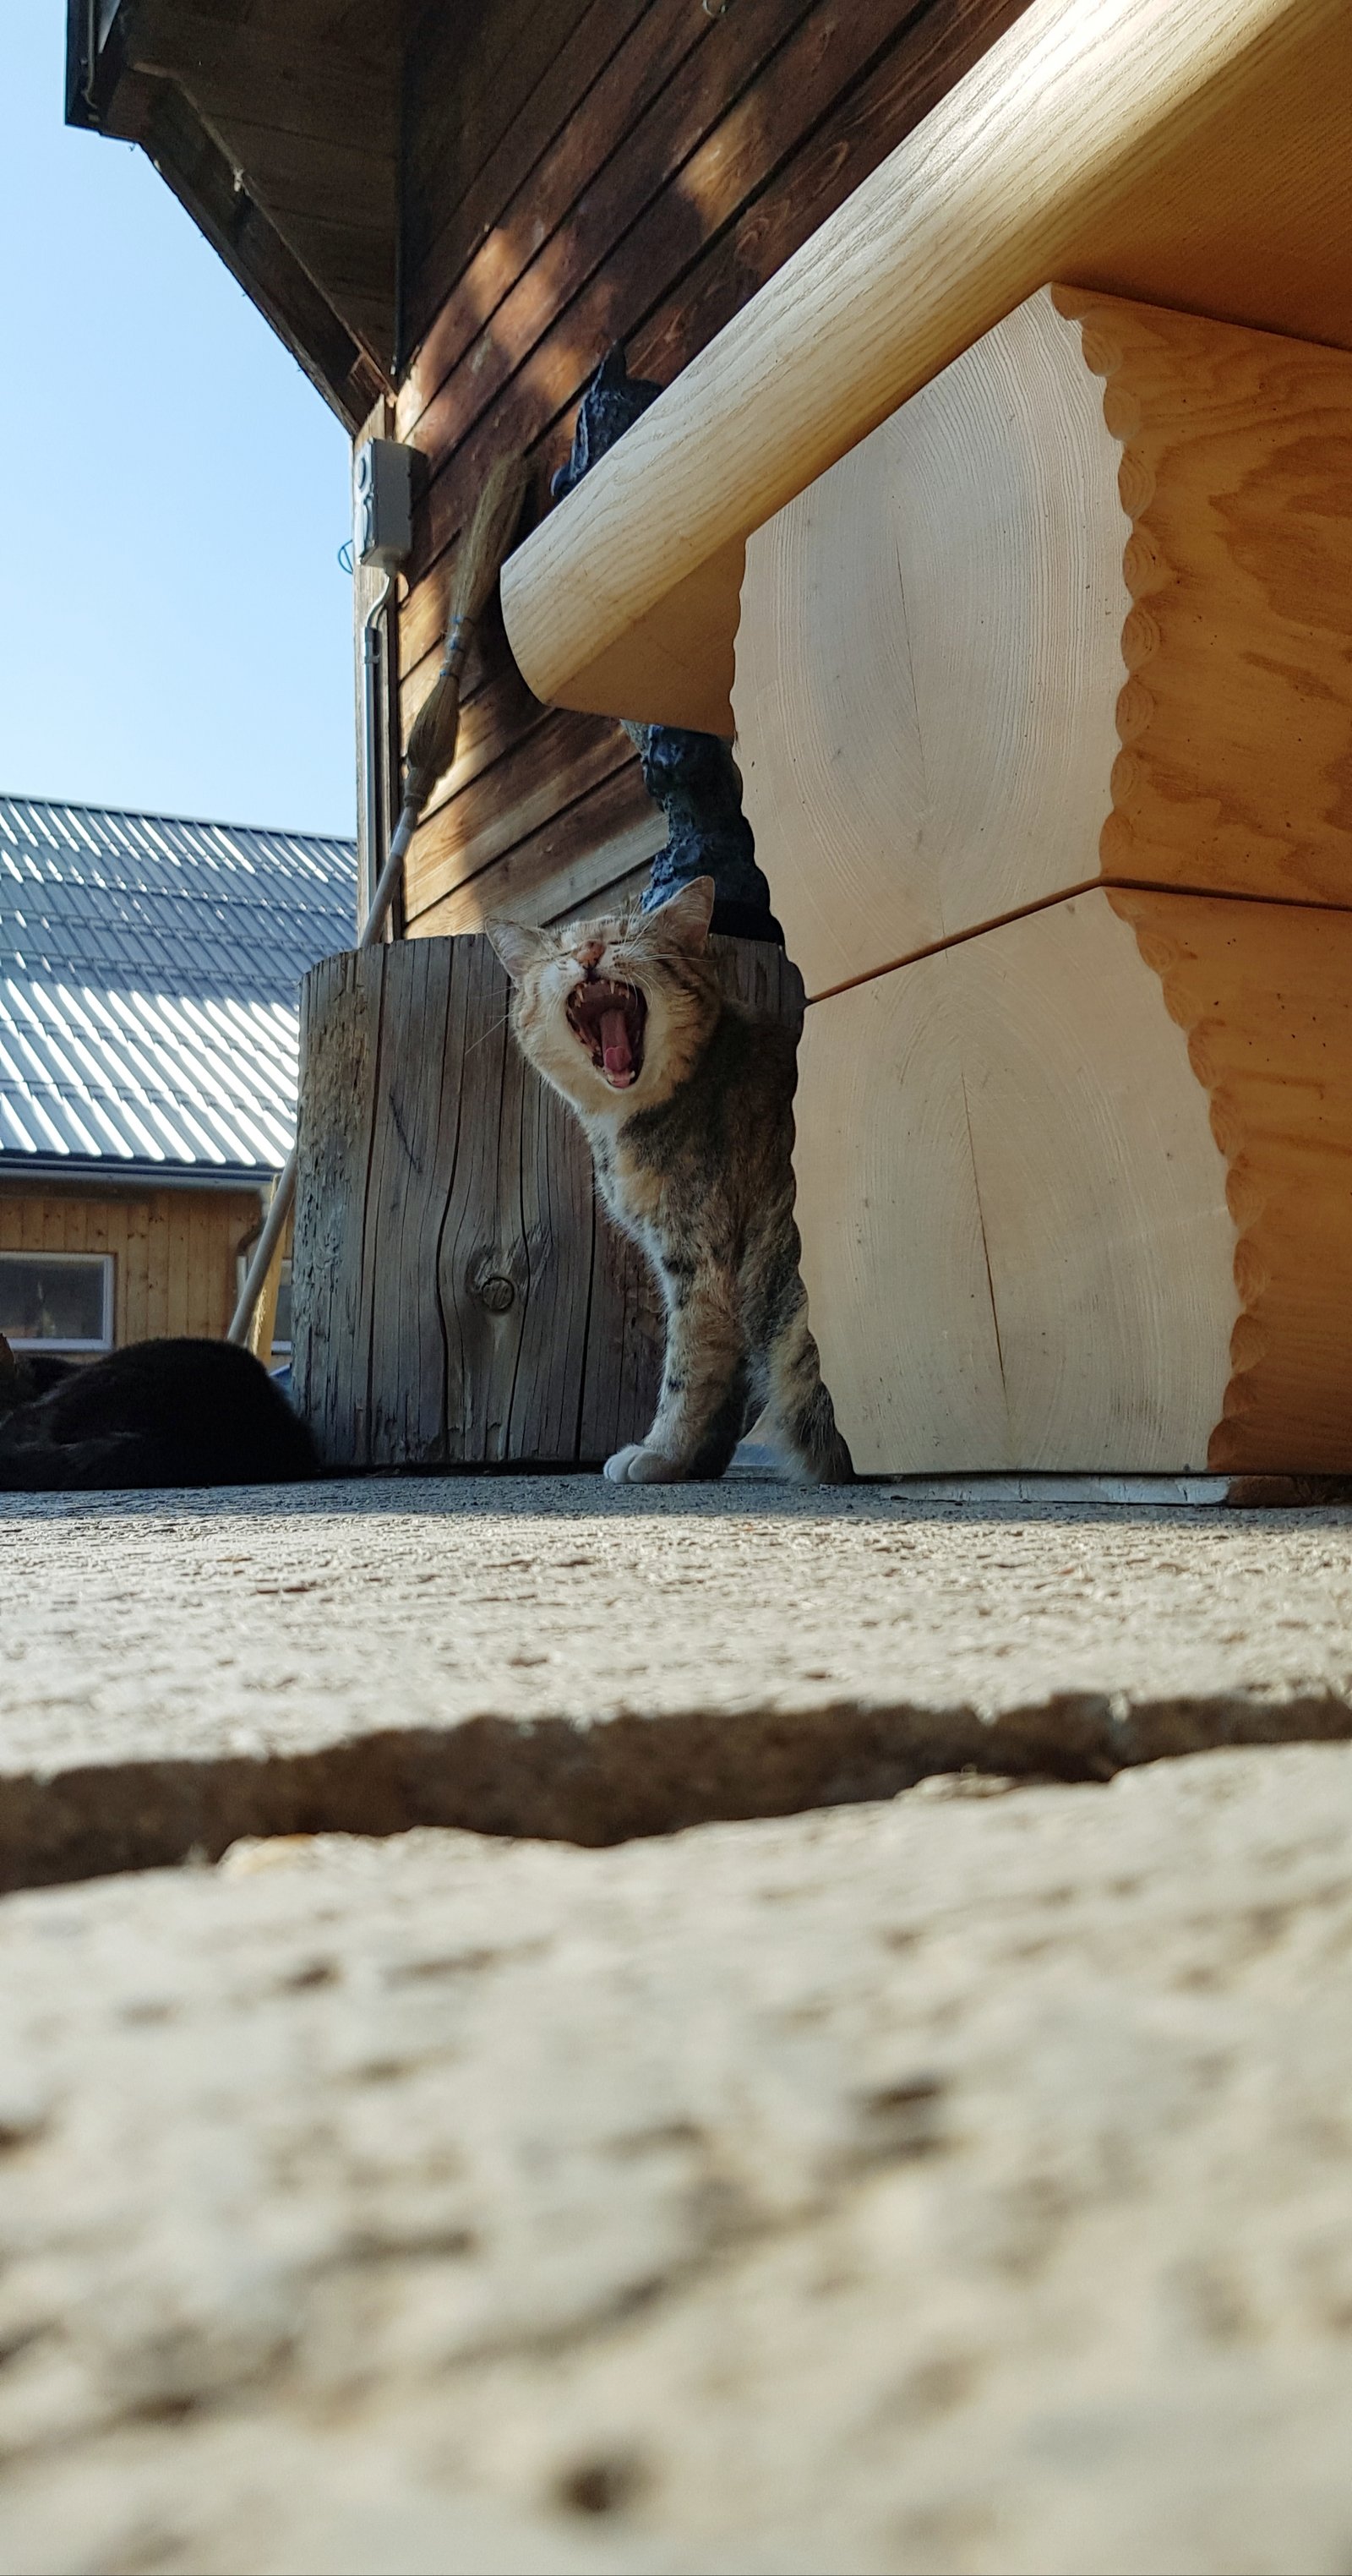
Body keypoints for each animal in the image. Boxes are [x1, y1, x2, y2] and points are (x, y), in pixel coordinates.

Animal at [487, 876, 853, 1486]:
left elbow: (688, 1370)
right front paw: (699, 1462)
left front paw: (661, 1452)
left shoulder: (703, 1264)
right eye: (564, 951)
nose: (590, 953)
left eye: (624, 937)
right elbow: (724, 1384)